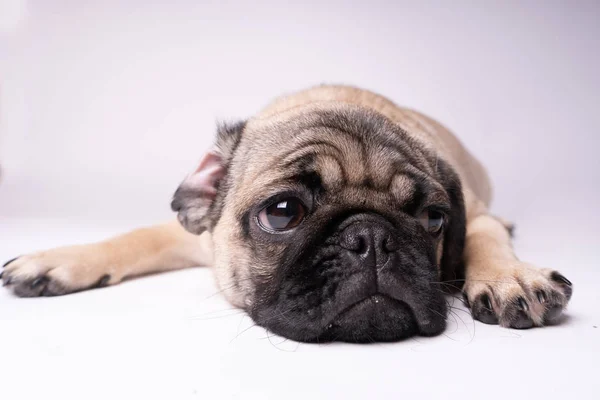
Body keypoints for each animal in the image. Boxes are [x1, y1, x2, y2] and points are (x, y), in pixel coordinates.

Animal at [0, 86, 572, 342]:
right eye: (282, 213)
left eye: (434, 218)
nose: (371, 237)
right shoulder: (196, 237)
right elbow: (135, 237)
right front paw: (61, 259)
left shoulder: (478, 217)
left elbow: (485, 238)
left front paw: (510, 278)